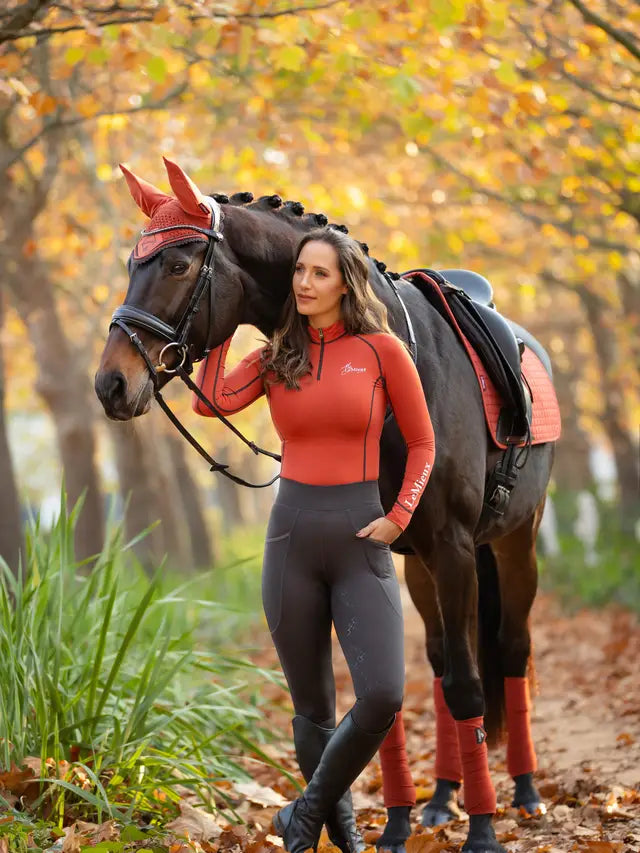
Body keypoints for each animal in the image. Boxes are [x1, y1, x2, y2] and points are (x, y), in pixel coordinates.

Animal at [94, 158, 556, 844]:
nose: (111, 384)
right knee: (439, 661)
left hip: (511, 543)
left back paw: (522, 792)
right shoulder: (406, 554)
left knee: (511, 652)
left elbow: (469, 688)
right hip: (422, 566)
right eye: (132, 264)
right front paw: (397, 824)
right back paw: (440, 800)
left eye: (177, 265)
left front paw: (481, 833)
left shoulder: (453, 547)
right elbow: (392, 694)